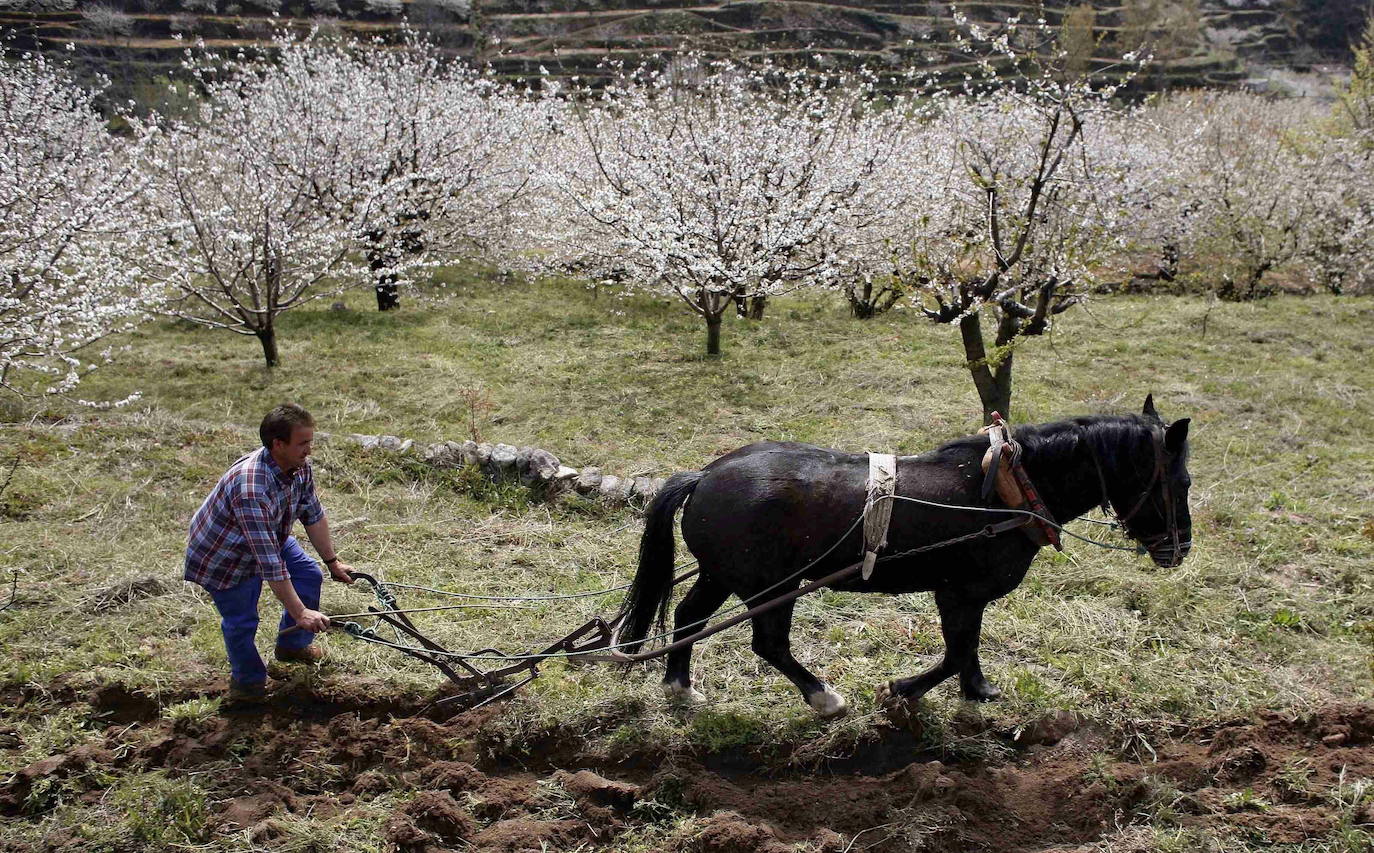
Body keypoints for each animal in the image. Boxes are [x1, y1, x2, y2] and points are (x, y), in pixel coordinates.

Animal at [623, 395, 1192, 714]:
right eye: (1181, 482)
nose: (1180, 549)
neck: (1008, 490)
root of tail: (704, 475)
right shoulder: (959, 592)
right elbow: (956, 651)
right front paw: (904, 690)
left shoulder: (966, 596)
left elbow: (968, 649)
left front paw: (978, 690)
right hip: (773, 586)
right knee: (768, 643)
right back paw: (824, 698)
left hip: (721, 574)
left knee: (688, 617)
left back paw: (679, 688)